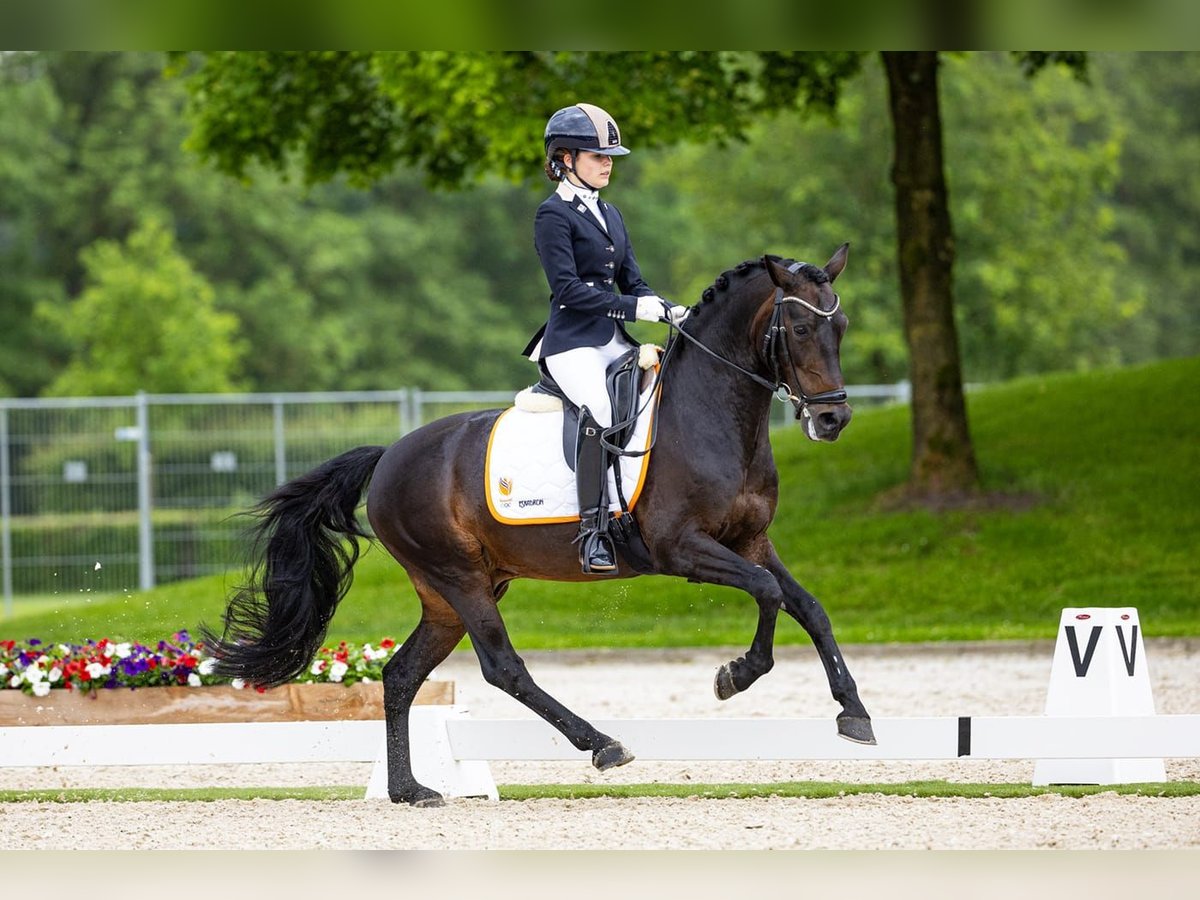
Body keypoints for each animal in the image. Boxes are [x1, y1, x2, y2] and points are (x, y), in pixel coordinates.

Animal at [204, 244, 873, 811]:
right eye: (802, 329)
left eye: (841, 327)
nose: (834, 420)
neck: (711, 414)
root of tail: (389, 454)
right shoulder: (682, 548)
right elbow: (766, 592)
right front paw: (734, 676)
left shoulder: (750, 540)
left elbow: (808, 607)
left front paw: (855, 715)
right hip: (461, 578)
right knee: (503, 667)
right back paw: (602, 745)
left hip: (449, 592)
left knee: (401, 675)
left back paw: (410, 790)